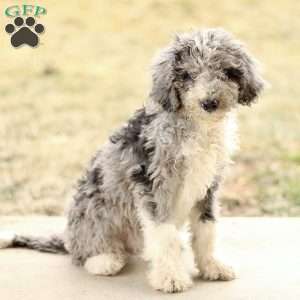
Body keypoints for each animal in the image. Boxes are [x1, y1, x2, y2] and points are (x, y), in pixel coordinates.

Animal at [0, 28, 264, 292]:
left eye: (227, 71)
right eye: (187, 75)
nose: (209, 103)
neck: (196, 127)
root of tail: (67, 239)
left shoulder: (208, 186)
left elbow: (206, 229)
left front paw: (212, 266)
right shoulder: (151, 182)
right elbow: (163, 233)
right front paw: (170, 277)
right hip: (93, 208)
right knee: (84, 251)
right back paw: (105, 260)